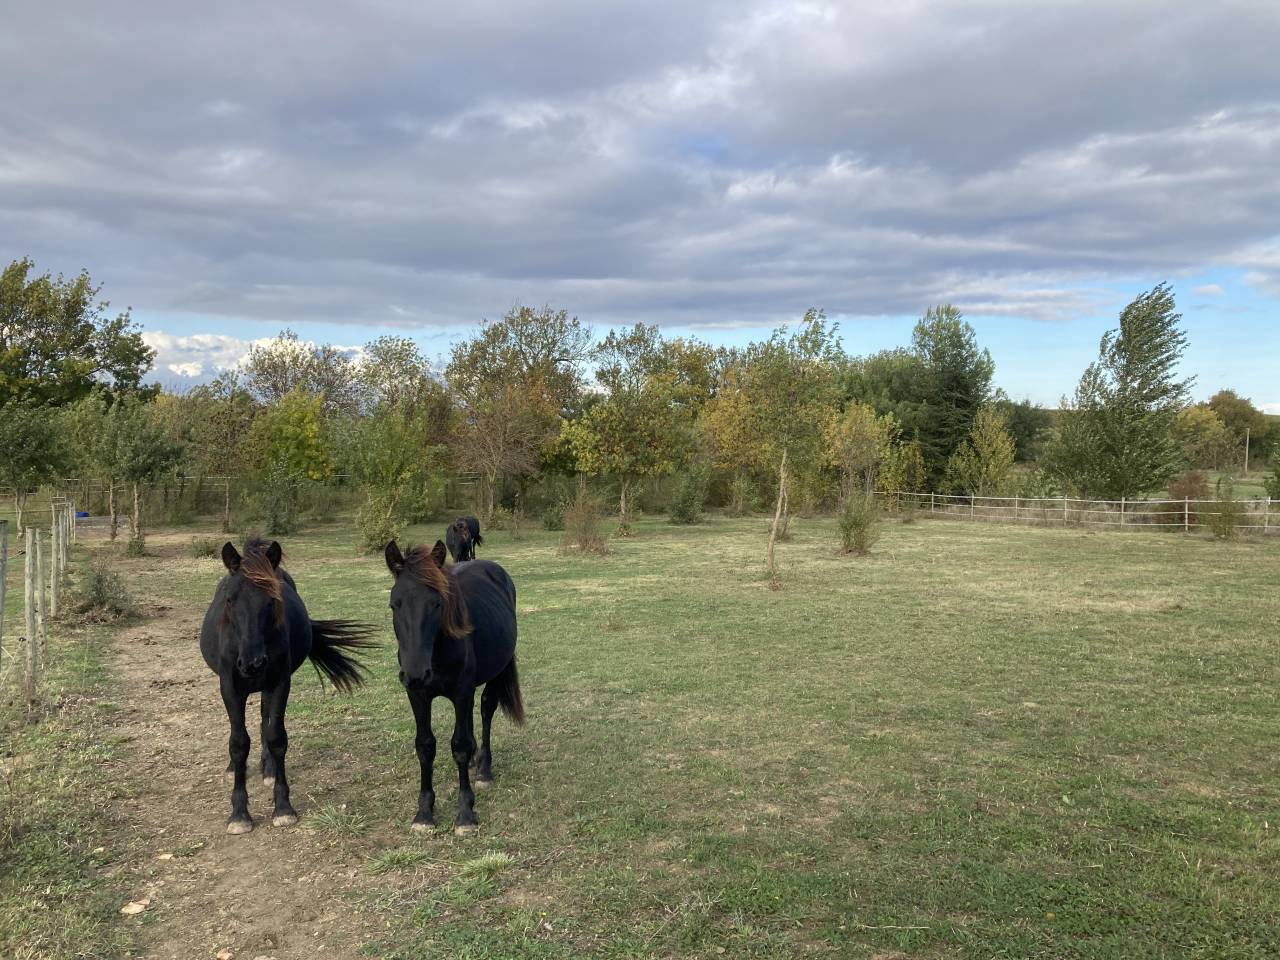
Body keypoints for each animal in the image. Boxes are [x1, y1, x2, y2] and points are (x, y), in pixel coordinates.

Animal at [199, 539, 374, 835]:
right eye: (230, 599)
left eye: (272, 599)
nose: (253, 663)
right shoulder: (230, 688)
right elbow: (238, 742)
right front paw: (239, 813)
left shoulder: (280, 683)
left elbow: (276, 737)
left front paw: (282, 807)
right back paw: (234, 768)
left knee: (264, 720)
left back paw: (268, 769)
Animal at [384, 539, 523, 834]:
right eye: (394, 605)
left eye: (437, 603)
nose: (415, 673)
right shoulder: (417, 695)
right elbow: (425, 746)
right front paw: (424, 812)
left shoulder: (461, 692)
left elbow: (460, 745)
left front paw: (466, 813)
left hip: (494, 674)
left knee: (486, 710)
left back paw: (484, 769)